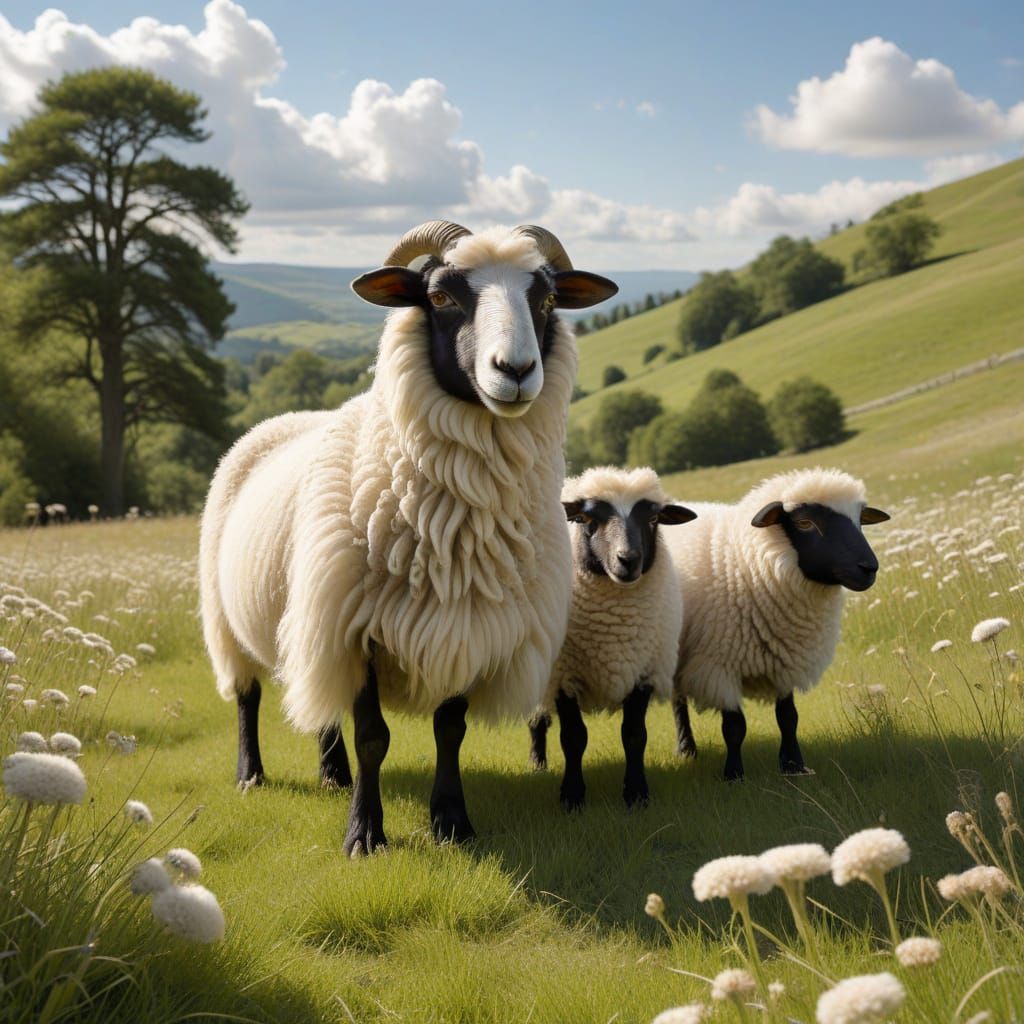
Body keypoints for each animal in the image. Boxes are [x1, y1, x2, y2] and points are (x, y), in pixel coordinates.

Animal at [199, 221, 617, 853]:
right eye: (440, 296)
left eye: (545, 300)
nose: (516, 370)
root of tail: (286, 418)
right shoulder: (357, 628)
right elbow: (373, 737)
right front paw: (364, 835)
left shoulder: (465, 625)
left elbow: (450, 729)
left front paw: (451, 822)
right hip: (232, 620)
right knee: (247, 697)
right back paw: (252, 774)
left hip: (312, 616)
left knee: (320, 703)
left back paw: (332, 774)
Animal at [527, 466, 695, 809]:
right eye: (586, 519)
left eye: (653, 519)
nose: (628, 559)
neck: (615, 625)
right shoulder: (564, 676)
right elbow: (573, 738)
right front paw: (572, 796)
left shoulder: (643, 671)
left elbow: (634, 735)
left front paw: (636, 794)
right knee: (537, 720)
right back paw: (538, 764)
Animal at [664, 467, 890, 781]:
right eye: (805, 523)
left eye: (859, 520)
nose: (869, 568)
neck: (744, 564)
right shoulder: (718, 665)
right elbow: (734, 727)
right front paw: (734, 775)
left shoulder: (785, 657)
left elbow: (788, 718)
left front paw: (794, 766)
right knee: (678, 702)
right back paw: (686, 749)